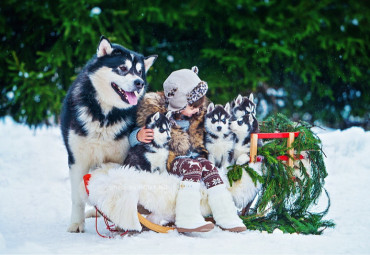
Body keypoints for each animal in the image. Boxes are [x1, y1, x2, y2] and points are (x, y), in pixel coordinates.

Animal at [59, 36, 158, 233]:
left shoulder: (122, 158)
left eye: (140, 72)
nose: (139, 83)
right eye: (123, 68)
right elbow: (77, 197)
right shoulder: (78, 160)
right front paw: (76, 223)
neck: (104, 116)